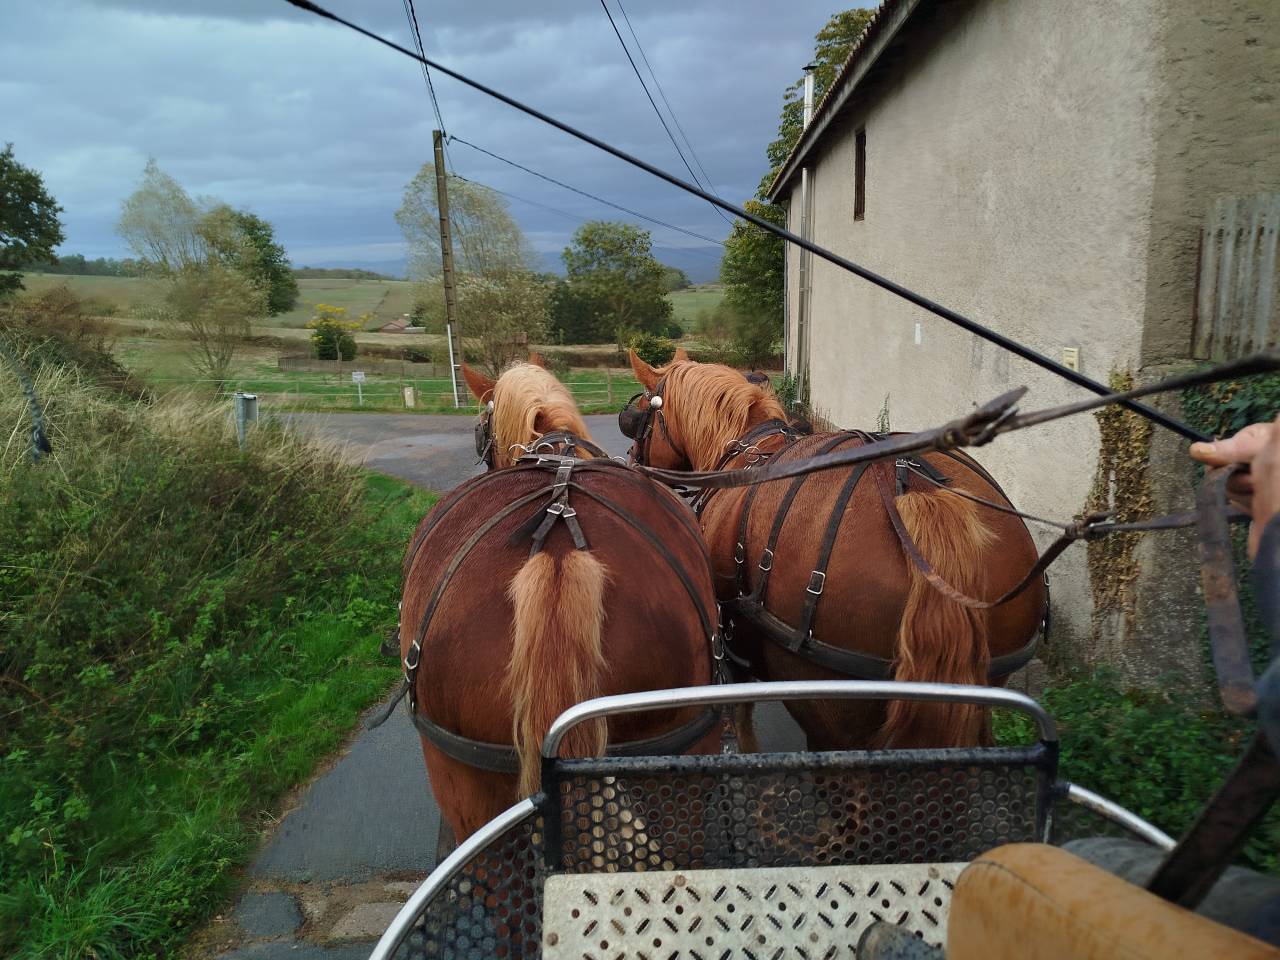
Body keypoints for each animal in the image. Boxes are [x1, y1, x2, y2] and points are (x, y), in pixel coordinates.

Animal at [622, 352, 1047, 752]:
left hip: (829, 706)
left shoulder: (734, 639)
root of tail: (913, 488)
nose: (631, 459)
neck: (745, 447)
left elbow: (742, 711)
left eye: (640, 413)